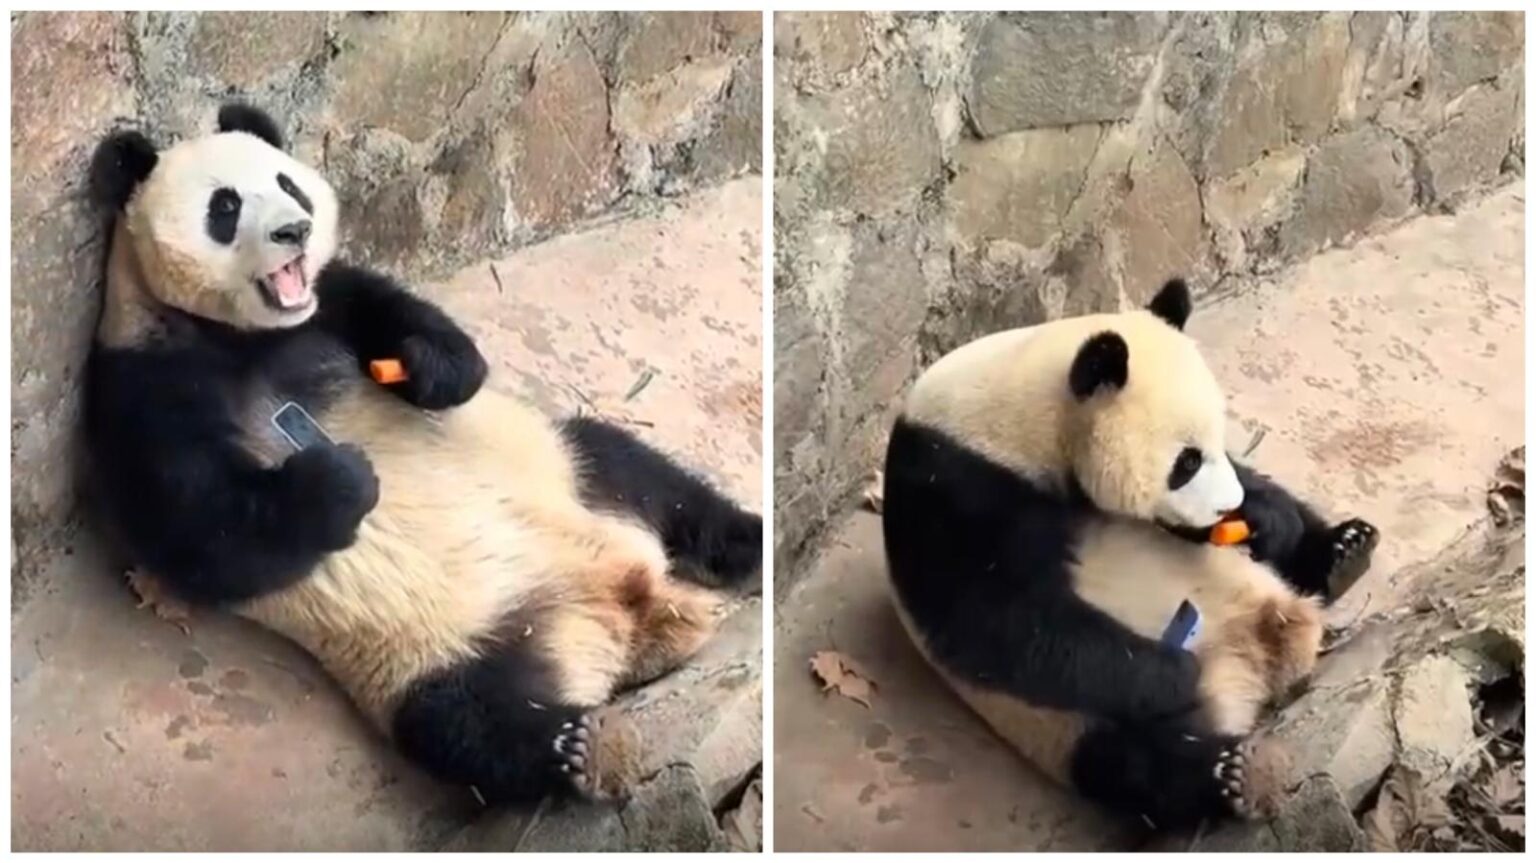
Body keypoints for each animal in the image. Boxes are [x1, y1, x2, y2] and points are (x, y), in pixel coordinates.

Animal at [82, 103, 762, 807]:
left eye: (288, 183)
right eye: (225, 206)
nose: (295, 230)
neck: (242, 337)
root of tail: (627, 610)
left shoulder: (334, 301)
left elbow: (423, 330)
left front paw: (424, 369)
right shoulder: (142, 383)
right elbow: (201, 535)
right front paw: (341, 479)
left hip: (563, 467)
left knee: (644, 473)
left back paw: (748, 544)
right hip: (435, 650)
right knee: (468, 723)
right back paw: (583, 748)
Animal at [881, 278, 1380, 830]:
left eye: (1217, 441)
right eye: (1186, 462)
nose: (1229, 505)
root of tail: (1252, 662)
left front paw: (1269, 519)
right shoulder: (954, 490)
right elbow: (996, 619)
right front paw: (1175, 673)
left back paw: (1343, 553)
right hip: (1068, 725)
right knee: (1137, 762)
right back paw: (1230, 773)